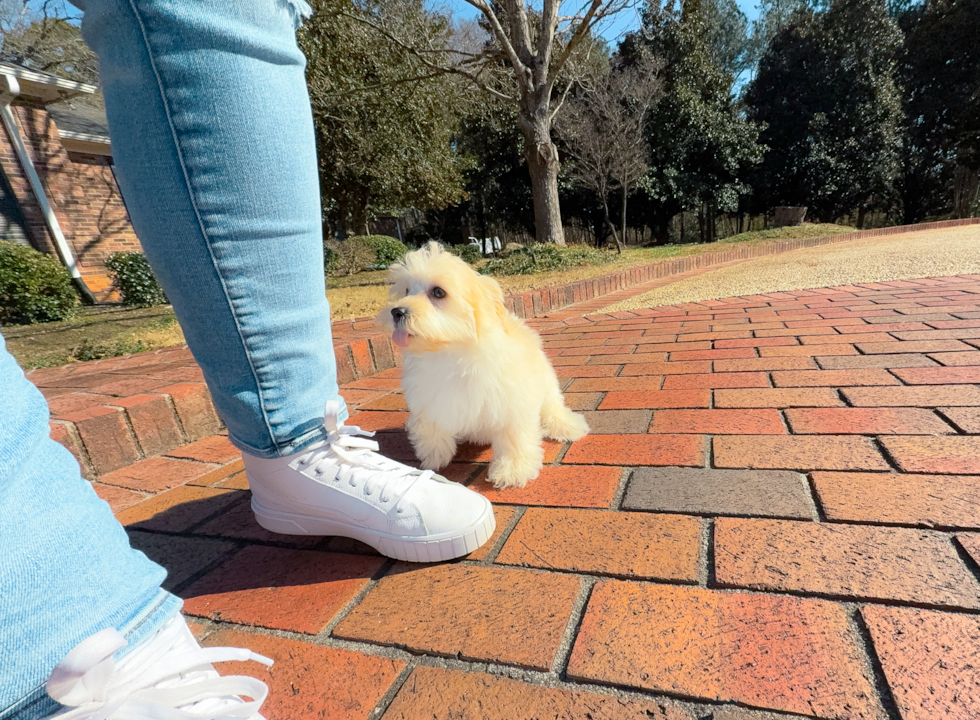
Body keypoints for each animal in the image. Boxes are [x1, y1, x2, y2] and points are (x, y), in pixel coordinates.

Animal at [376, 243, 588, 490]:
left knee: (553, 407)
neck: (452, 352)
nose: (396, 311)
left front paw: (512, 470)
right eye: (407, 291)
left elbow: (513, 436)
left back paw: (567, 425)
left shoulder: (512, 401)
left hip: (546, 384)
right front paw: (434, 454)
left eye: (438, 292)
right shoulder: (429, 398)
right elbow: (431, 427)